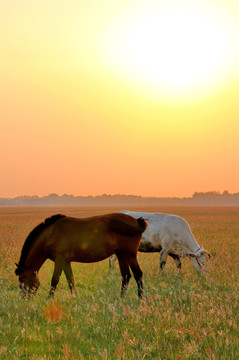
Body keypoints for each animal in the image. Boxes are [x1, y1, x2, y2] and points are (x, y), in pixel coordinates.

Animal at [14, 214, 147, 298]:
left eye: (22, 278)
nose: (23, 298)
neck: (51, 234)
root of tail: (136, 221)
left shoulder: (60, 260)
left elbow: (55, 280)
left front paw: (49, 299)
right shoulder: (66, 262)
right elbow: (70, 280)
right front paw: (75, 299)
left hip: (130, 255)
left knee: (138, 274)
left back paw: (140, 299)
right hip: (120, 254)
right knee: (126, 276)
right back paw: (121, 298)